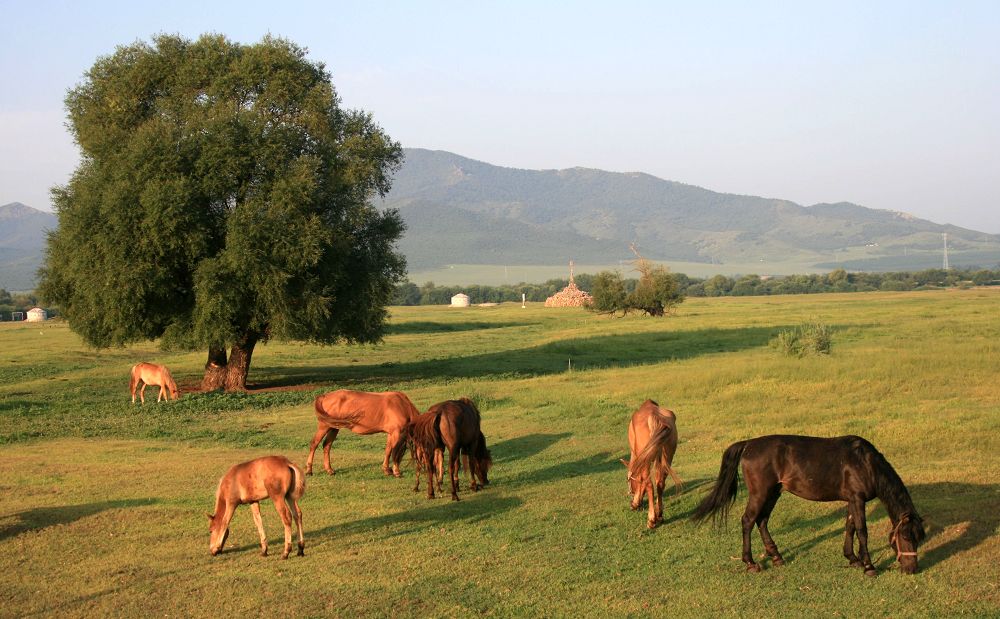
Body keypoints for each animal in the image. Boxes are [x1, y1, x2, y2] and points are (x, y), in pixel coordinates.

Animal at [692, 436, 924, 576]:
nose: (912, 569)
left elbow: (849, 527)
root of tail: (749, 444)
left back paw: (776, 557)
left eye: (918, 538)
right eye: (905, 537)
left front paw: (852, 559)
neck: (865, 463)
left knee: (762, 521)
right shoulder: (857, 499)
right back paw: (750, 562)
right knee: (748, 521)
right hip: (760, 494)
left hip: (773, 493)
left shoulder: (851, 500)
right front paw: (868, 566)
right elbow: (861, 531)